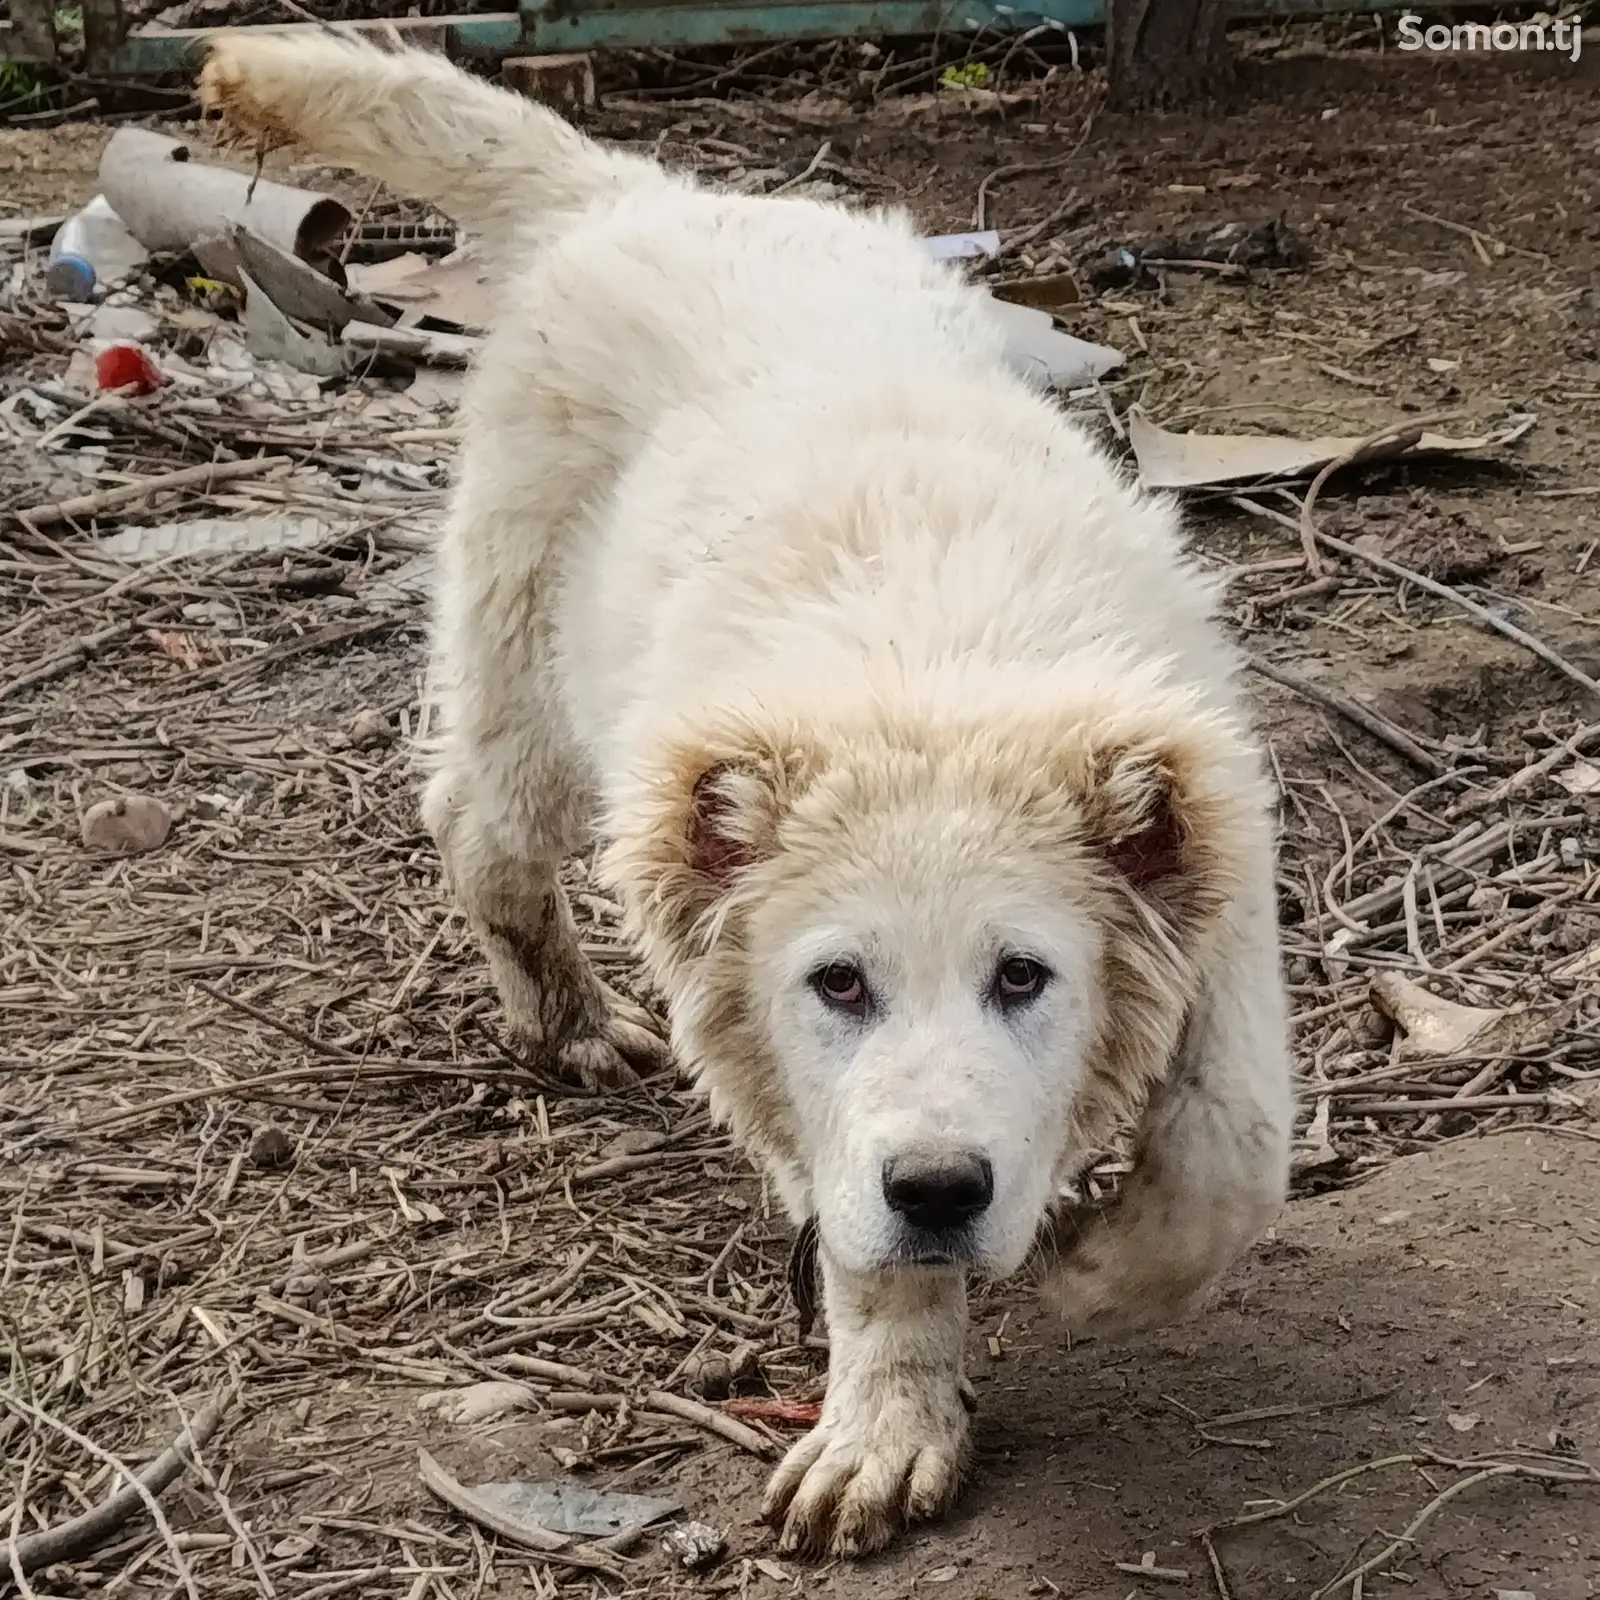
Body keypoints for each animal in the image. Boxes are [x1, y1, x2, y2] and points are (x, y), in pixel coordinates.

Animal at [200, 37, 1299, 1555]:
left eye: (1025, 977)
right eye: (836, 983)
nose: (945, 1191)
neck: (926, 671)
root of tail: (638, 190)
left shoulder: (1217, 882)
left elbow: (1234, 1151)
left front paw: (1100, 1266)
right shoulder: (778, 1053)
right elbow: (865, 1241)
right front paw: (891, 1419)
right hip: (533, 646)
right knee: (480, 823)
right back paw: (567, 1017)